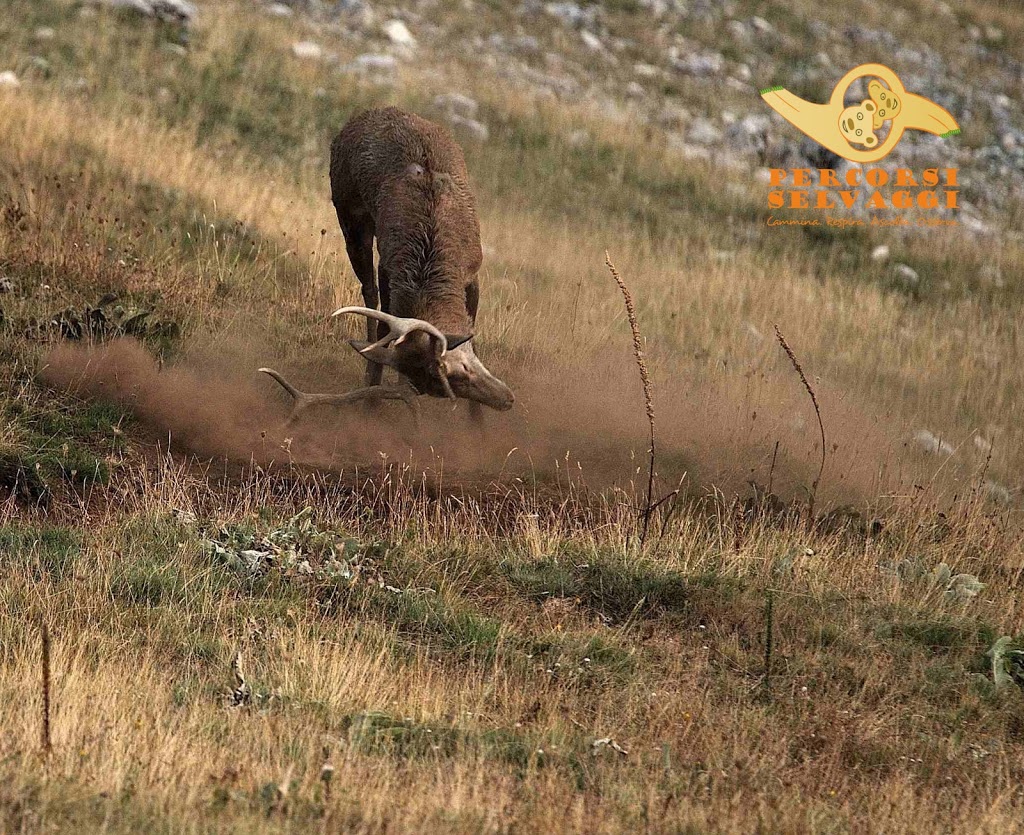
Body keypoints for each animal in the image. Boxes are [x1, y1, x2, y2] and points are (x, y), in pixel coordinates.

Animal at [259, 106, 514, 424]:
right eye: (455, 378)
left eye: (465, 368)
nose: (507, 399)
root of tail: (364, 114)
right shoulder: (389, 266)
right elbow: (383, 321)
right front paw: (372, 401)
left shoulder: (473, 269)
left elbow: (473, 327)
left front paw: (477, 423)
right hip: (349, 214)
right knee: (368, 293)